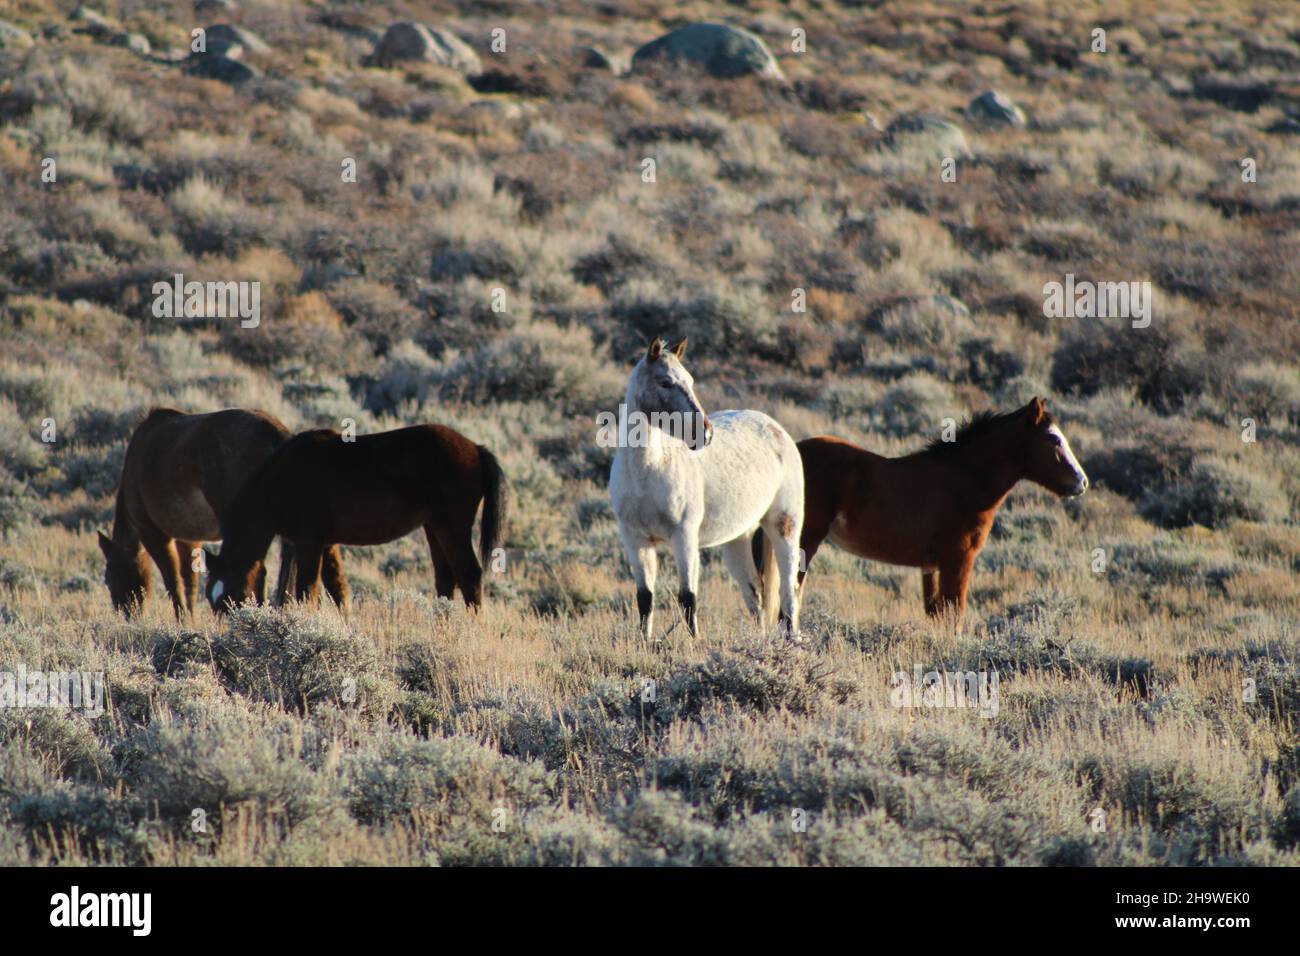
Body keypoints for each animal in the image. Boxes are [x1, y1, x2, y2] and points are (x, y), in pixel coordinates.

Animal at [98, 408, 345, 621]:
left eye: (109, 578)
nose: (127, 615)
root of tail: (278, 435)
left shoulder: (153, 534)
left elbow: (173, 580)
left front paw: (183, 621)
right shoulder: (189, 539)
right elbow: (189, 580)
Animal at [205, 426, 504, 613]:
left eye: (235, 596)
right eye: (211, 598)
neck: (284, 479)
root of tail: (475, 448)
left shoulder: (309, 542)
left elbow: (307, 590)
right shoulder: (326, 544)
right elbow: (337, 590)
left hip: (451, 527)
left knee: (469, 574)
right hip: (434, 527)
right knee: (445, 578)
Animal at [605, 338, 800, 642]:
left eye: (691, 381)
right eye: (665, 382)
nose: (705, 433)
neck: (647, 472)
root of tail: (776, 429)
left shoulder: (684, 536)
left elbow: (688, 597)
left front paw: (694, 642)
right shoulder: (636, 540)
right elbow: (645, 597)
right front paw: (644, 642)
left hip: (784, 525)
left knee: (789, 590)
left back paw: (793, 640)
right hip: (737, 539)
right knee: (755, 593)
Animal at [780, 395, 1086, 621]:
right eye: (1054, 439)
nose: (1081, 482)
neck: (964, 480)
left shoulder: (932, 566)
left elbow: (937, 613)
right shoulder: (958, 559)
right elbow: (953, 614)